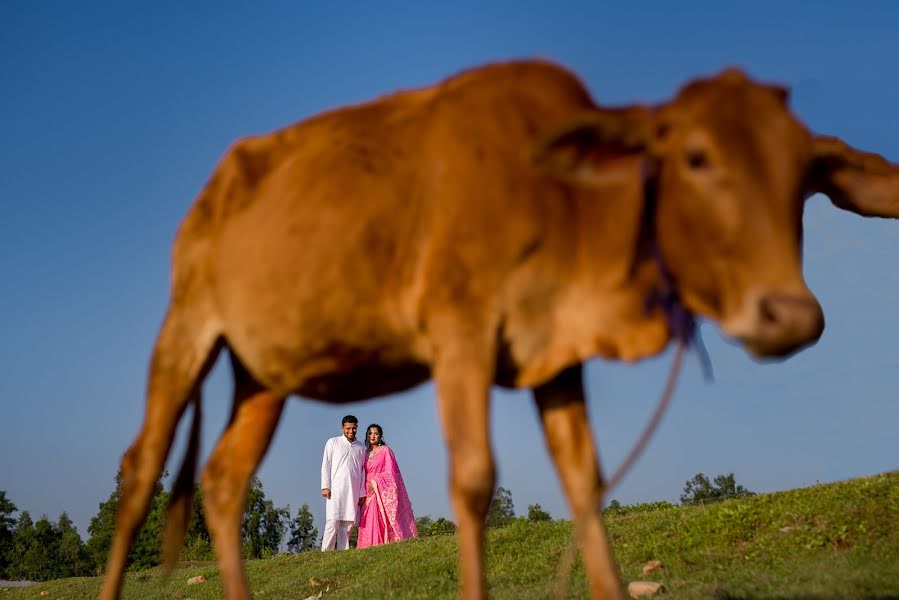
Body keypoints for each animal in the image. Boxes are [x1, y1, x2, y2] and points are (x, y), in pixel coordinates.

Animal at [100, 58, 899, 596]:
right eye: (696, 156)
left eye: (805, 175)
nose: (791, 314)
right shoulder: (459, 332)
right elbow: (475, 480)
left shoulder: (556, 355)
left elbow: (585, 481)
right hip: (185, 328)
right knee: (140, 471)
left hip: (263, 373)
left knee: (223, 480)